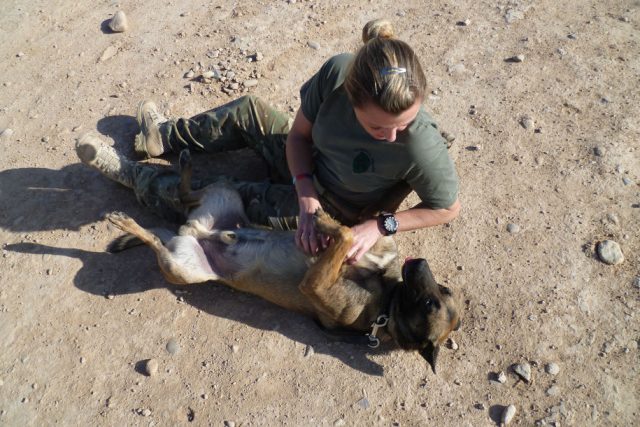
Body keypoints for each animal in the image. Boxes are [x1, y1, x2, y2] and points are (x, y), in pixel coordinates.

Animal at [107, 150, 462, 374]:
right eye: (444, 291)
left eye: (431, 303)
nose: (420, 263)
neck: (388, 300)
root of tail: (195, 232)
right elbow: (350, 229)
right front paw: (320, 218)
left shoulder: (316, 284)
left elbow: (346, 235)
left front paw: (323, 221)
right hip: (225, 192)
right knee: (186, 195)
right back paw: (184, 166)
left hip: (183, 270)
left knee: (157, 243)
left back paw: (126, 222)